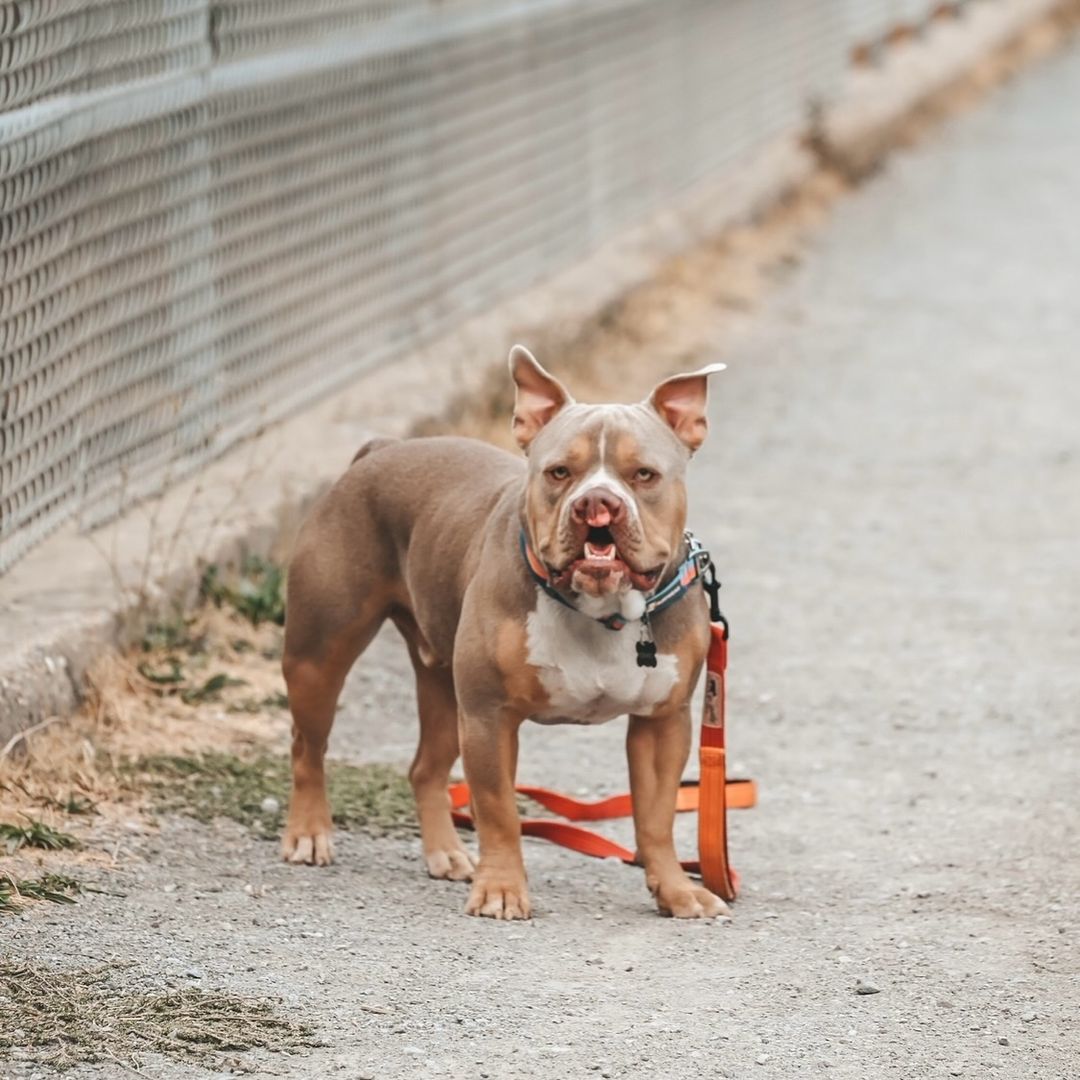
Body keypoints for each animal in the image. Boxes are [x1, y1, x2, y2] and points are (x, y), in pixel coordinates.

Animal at [282, 345, 730, 920]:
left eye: (644, 475)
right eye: (559, 472)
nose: (596, 503)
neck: (601, 609)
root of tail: (380, 451)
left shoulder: (662, 723)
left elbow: (656, 820)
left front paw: (677, 891)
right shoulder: (489, 717)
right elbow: (499, 813)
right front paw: (500, 890)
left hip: (443, 685)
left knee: (425, 769)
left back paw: (446, 853)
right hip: (319, 657)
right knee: (307, 747)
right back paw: (309, 833)